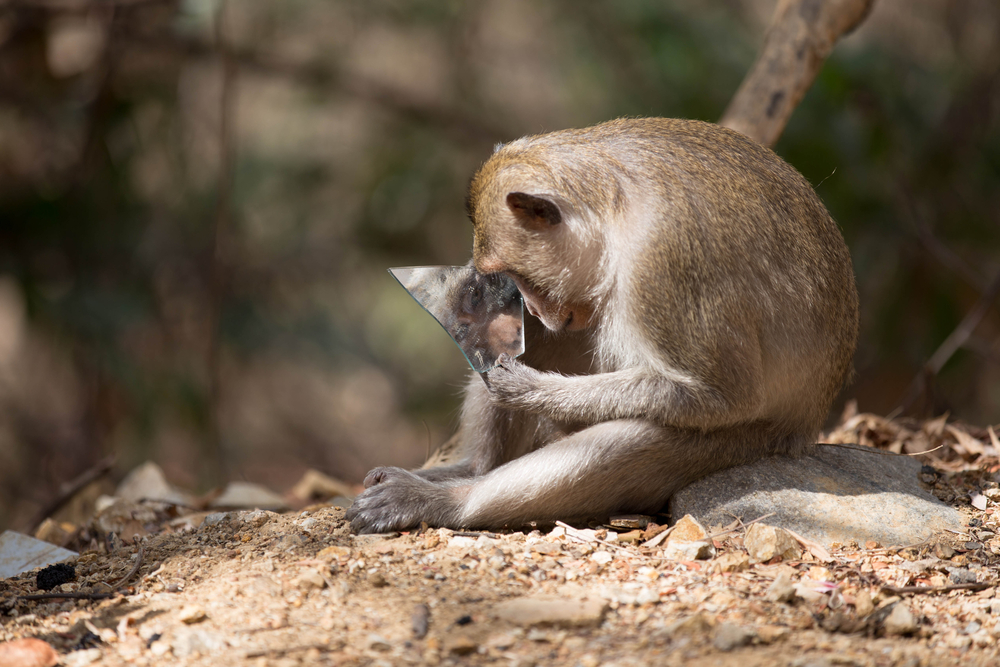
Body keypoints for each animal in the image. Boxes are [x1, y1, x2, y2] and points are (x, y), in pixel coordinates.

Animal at [347, 117, 859, 534]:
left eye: (518, 275)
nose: (533, 310)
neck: (614, 210)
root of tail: (809, 423)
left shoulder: (662, 262)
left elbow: (724, 395)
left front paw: (531, 389)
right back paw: (472, 470)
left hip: (752, 442)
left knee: (642, 434)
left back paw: (445, 500)